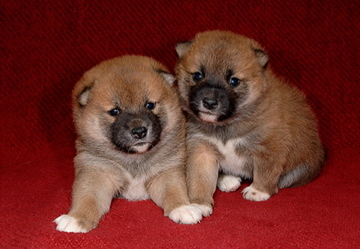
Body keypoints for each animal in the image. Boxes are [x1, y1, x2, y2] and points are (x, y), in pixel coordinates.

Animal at [54, 55, 202, 232]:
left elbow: (174, 190)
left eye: (150, 105)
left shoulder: (165, 171)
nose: (139, 131)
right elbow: (87, 197)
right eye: (115, 111)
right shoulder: (97, 172)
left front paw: (183, 208)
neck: (134, 158)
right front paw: (76, 218)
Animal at [175, 29, 326, 216]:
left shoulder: (268, 147)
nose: (209, 103)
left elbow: (265, 171)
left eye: (233, 81)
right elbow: (199, 179)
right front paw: (199, 203)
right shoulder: (202, 150)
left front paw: (258, 191)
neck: (227, 125)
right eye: (197, 75)